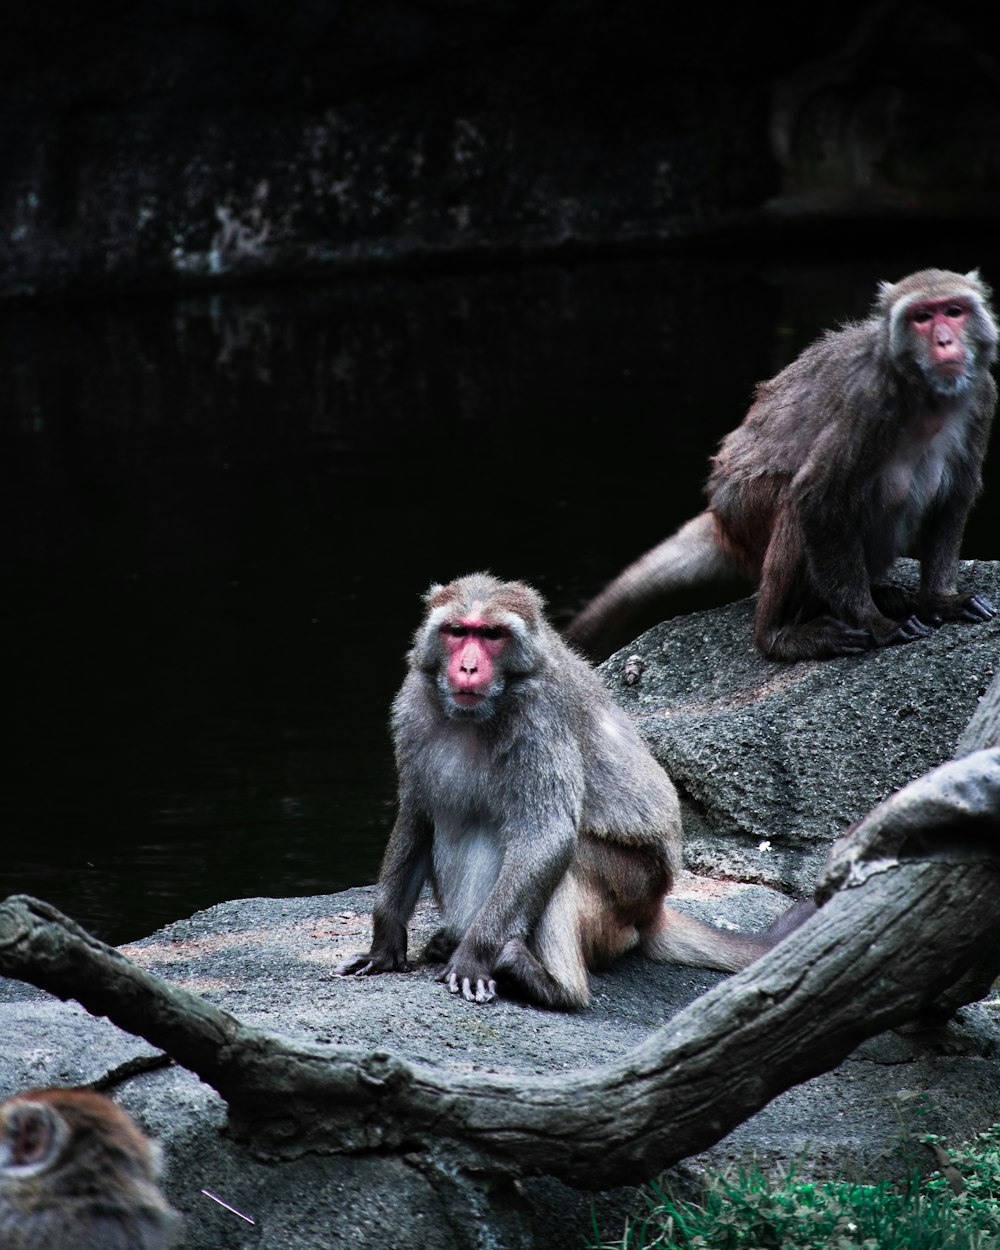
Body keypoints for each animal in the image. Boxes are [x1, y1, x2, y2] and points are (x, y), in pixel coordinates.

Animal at [335, 572, 775, 1010]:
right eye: (458, 631)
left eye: (492, 634)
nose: (468, 666)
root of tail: (653, 913)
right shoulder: (411, 706)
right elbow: (419, 816)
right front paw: (383, 944)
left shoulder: (541, 718)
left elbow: (546, 836)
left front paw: (475, 956)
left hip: (634, 890)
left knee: (568, 859)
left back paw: (546, 982)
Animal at [567, 267, 995, 660]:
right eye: (923, 317)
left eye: (953, 311)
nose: (944, 340)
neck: (926, 395)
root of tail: (720, 517)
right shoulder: (869, 401)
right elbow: (816, 497)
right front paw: (875, 623)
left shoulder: (982, 395)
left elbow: (955, 495)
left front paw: (940, 599)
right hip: (745, 512)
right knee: (796, 505)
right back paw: (777, 636)